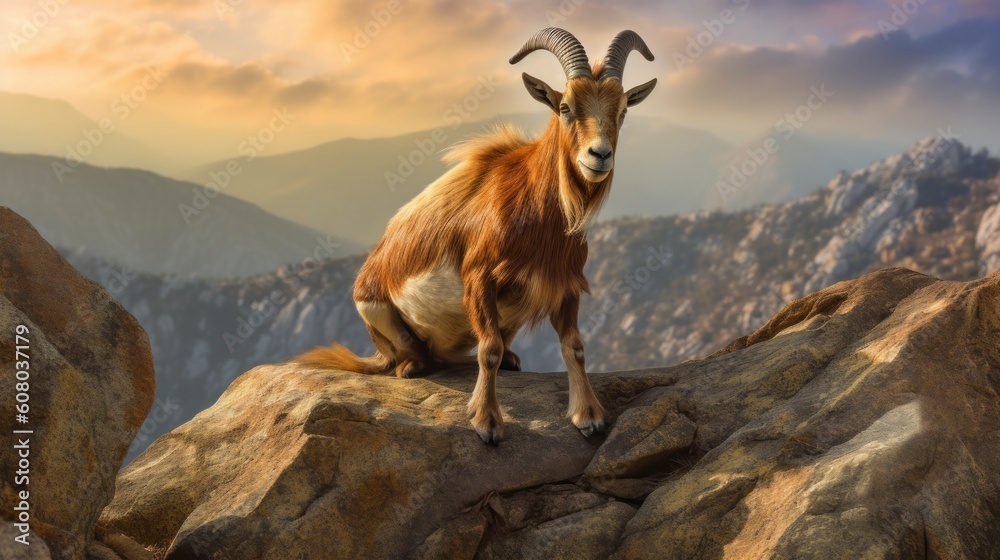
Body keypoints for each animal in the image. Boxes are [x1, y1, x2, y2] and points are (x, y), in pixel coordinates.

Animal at [297, 28, 657, 444]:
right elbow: (488, 349)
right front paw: (487, 421)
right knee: (424, 354)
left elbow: (575, 346)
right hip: (373, 309)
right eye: (566, 107)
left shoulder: (565, 283)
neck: (536, 209)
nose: (598, 156)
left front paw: (588, 415)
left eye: (623, 110)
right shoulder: (479, 277)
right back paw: (412, 367)